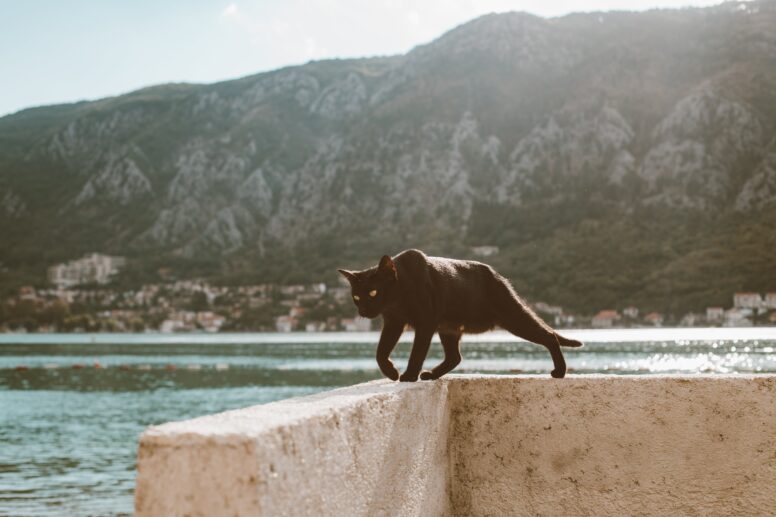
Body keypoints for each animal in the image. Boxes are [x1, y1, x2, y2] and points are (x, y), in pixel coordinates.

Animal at [338, 248, 584, 380]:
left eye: (373, 292)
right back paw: (432, 375)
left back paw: (560, 371)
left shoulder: (425, 323)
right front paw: (391, 372)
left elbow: (417, 353)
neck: (398, 299)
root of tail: (498, 276)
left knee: (549, 336)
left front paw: (408, 376)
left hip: (513, 317)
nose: (363, 310)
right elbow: (380, 351)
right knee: (454, 357)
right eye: (356, 296)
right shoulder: (393, 323)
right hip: (449, 328)